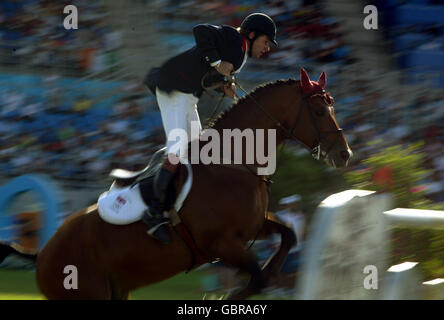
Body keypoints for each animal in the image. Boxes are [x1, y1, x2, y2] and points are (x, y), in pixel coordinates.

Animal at [1, 68, 352, 300]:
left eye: (332, 106)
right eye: (319, 110)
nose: (344, 154)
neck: (234, 162)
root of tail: (42, 253)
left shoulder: (252, 229)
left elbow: (288, 234)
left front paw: (273, 272)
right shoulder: (222, 243)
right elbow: (256, 278)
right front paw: (238, 290)